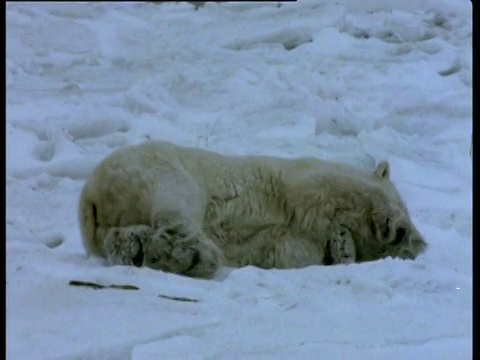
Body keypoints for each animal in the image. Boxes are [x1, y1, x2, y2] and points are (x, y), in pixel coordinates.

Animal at [79, 140, 428, 278]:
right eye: (401, 205)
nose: (404, 233)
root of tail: (91, 196)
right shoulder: (300, 181)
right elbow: (324, 195)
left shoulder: (283, 239)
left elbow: (288, 250)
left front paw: (341, 247)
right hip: (156, 167)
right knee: (176, 204)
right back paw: (194, 256)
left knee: (120, 233)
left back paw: (134, 248)